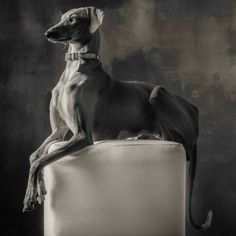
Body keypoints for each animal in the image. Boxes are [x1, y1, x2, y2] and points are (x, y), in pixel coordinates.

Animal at [23, 6, 213, 230]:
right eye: (62, 17)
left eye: (73, 19)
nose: (48, 33)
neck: (74, 68)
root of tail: (194, 111)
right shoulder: (58, 133)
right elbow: (35, 156)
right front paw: (39, 188)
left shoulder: (83, 135)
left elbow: (40, 160)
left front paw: (31, 194)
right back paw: (138, 137)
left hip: (158, 94)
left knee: (179, 144)